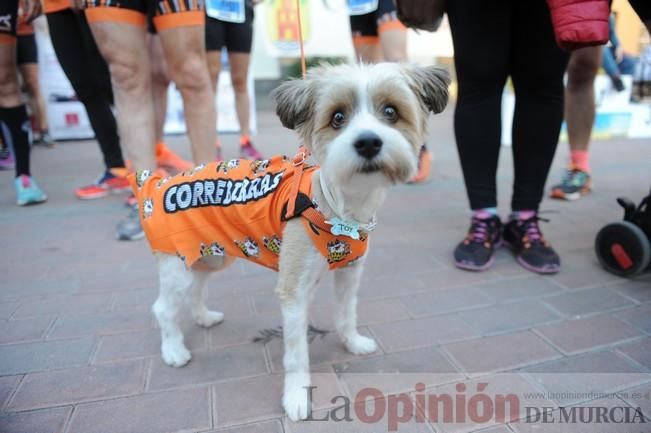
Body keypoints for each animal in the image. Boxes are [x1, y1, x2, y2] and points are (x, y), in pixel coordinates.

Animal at [132, 62, 448, 420]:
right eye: (337, 117)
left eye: (391, 112)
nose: (368, 142)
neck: (337, 207)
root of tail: (157, 184)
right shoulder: (294, 291)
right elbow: (296, 353)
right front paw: (297, 398)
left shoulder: (350, 272)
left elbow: (346, 314)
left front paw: (352, 343)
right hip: (177, 265)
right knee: (163, 308)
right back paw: (173, 350)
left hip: (209, 255)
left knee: (196, 288)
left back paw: (204, 317)